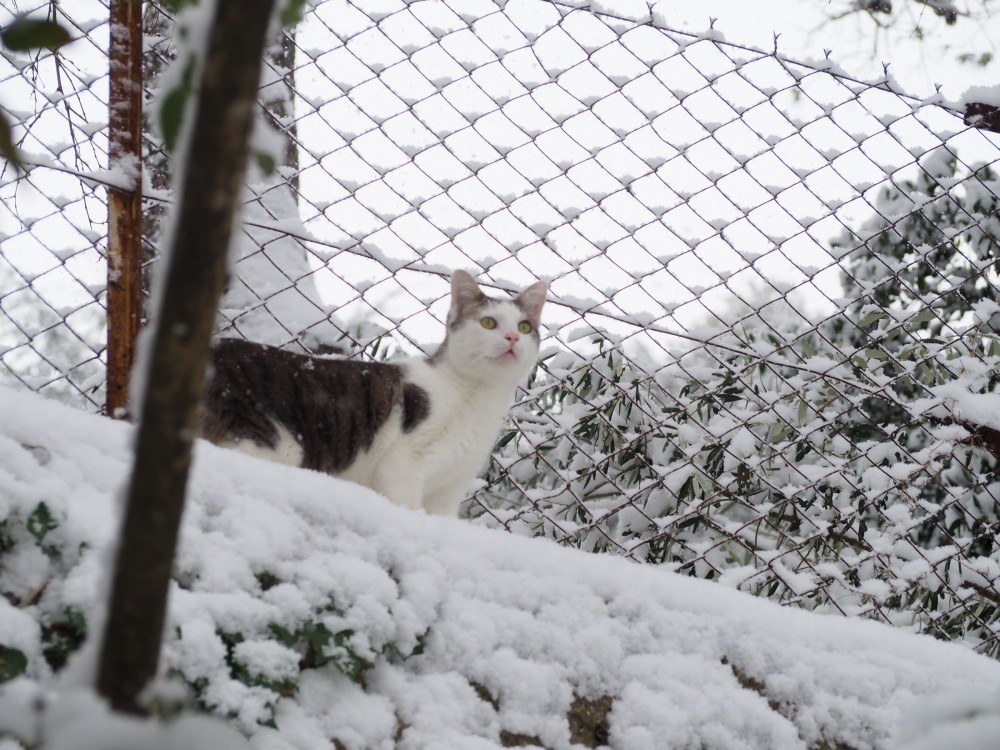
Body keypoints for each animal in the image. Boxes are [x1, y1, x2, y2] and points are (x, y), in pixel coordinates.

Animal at [201, 272, 548, 516]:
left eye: (525, 327)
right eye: (488, 323)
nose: (513, 337)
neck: (479, 396)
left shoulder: (450, 489)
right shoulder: (402, 466)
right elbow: (407, 508)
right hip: (275, 443)